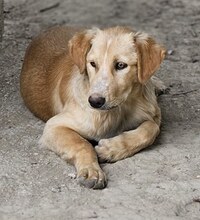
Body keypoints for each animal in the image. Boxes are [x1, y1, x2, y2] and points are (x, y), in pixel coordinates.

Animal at [20, 26, 166, 189]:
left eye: (121, 65)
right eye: (93, 64)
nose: (95, 101)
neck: (119, 109)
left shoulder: (153, 114)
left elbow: (151, 129)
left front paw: (110, 149)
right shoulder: (54, 125)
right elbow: (82, 144)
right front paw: (91, 171)